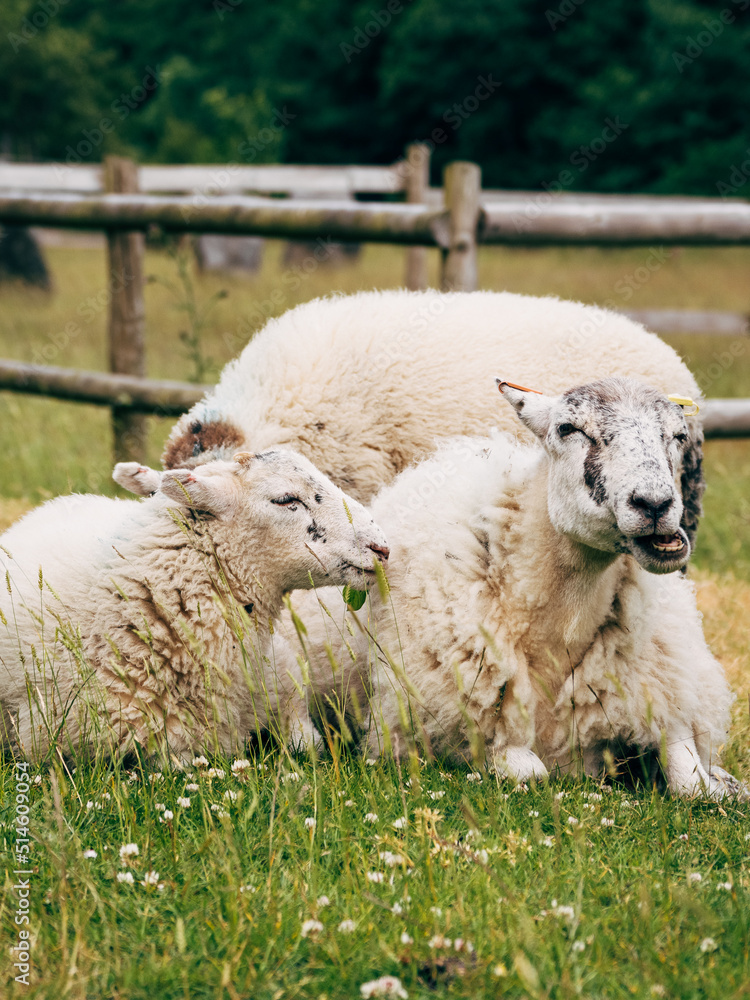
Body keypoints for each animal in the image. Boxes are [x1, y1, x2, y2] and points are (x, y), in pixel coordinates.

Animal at [277, 377, 739, 798]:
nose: (655, 505)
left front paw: (725, 783)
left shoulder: (664, 698)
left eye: (678, 435)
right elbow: (531, 772)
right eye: (567, 428)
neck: (559, 632)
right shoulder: (473, 729)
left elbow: (693, 785)